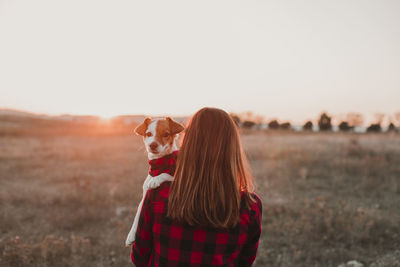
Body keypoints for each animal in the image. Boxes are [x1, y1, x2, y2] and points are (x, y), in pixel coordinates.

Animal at [125, 117, 184, 247]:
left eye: (166, 134)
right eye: (148, 134)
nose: (152, 145)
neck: (159, 165)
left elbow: (165, 174)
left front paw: (155, 180)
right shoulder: (144, 196)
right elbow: (138, 213)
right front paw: (131, 235)